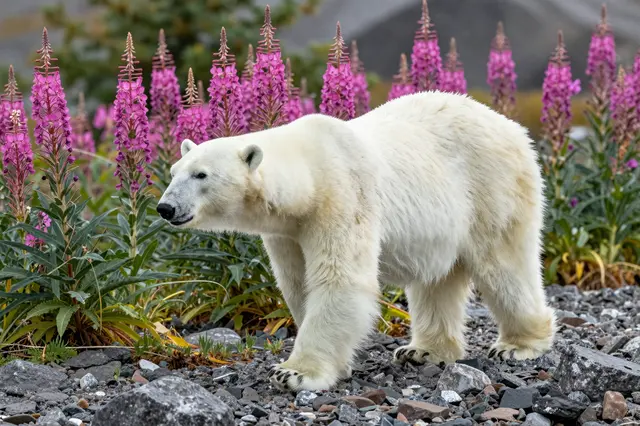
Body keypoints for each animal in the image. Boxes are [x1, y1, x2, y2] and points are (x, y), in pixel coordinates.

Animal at [157, 90, 557, 392]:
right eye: (174, 172)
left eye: (201, 174)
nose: (165, 207)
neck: (309, 171)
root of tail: (512, 127)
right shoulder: (287, 231)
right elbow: (298, 284)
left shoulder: (342, 196)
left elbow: (340, 280)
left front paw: (295, 373)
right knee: (436, 280)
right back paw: (424, 351)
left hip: (491, 186)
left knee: (504, 264)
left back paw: (518, 345)